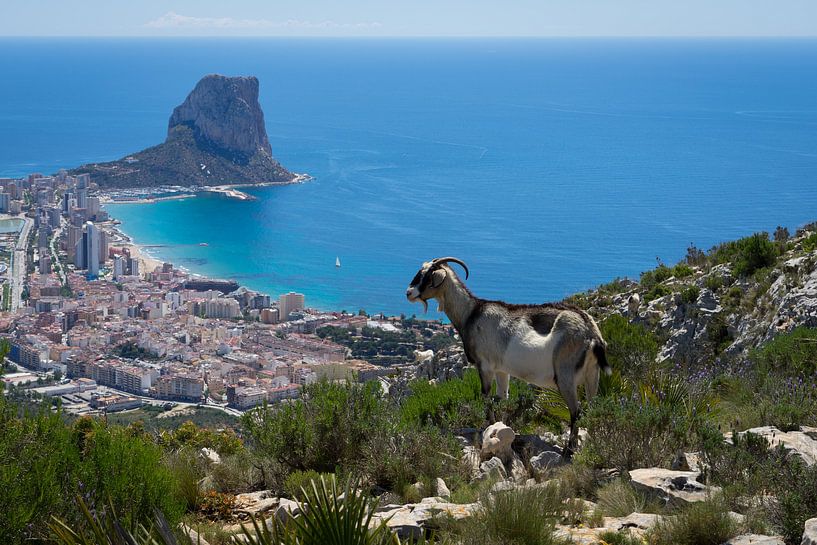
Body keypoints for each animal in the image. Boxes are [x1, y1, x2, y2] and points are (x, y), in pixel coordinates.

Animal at [404, 258, 608, 452]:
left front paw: (487, 428)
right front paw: (499, 428)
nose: (409, 292)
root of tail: (591, 333)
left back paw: (570, 448)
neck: (472, 313)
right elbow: (502, 398)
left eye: (427, 276)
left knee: (576, 411)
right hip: (593, 374)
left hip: (565, 375)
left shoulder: (485, 365)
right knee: (593, 408)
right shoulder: (502, 370)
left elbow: (486, 397)